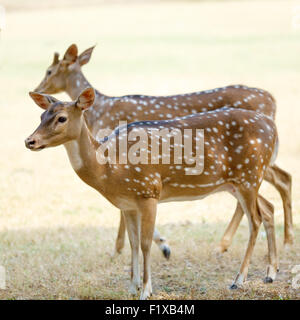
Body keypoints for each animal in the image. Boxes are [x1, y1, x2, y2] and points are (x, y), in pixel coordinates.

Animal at [25, 87, 278, 300]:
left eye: (61, 118)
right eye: (41, 116)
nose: (30, 141)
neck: (110, 168)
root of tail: (273, 127)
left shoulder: (148, 191)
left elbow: (146, 243)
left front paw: (146, 290)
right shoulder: (127, 204)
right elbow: (134, 243)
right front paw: (132, 287)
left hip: (249, 175)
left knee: (255, 219)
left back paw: (239, 280)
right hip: (237, 183)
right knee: (268, 209)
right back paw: (270, 274)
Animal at [32, 43, 292, 255]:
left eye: (49, 70)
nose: (38, 88)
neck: (99, 112)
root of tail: (273, 101)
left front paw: (124, 249)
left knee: (275, 184)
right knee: (280, 180)